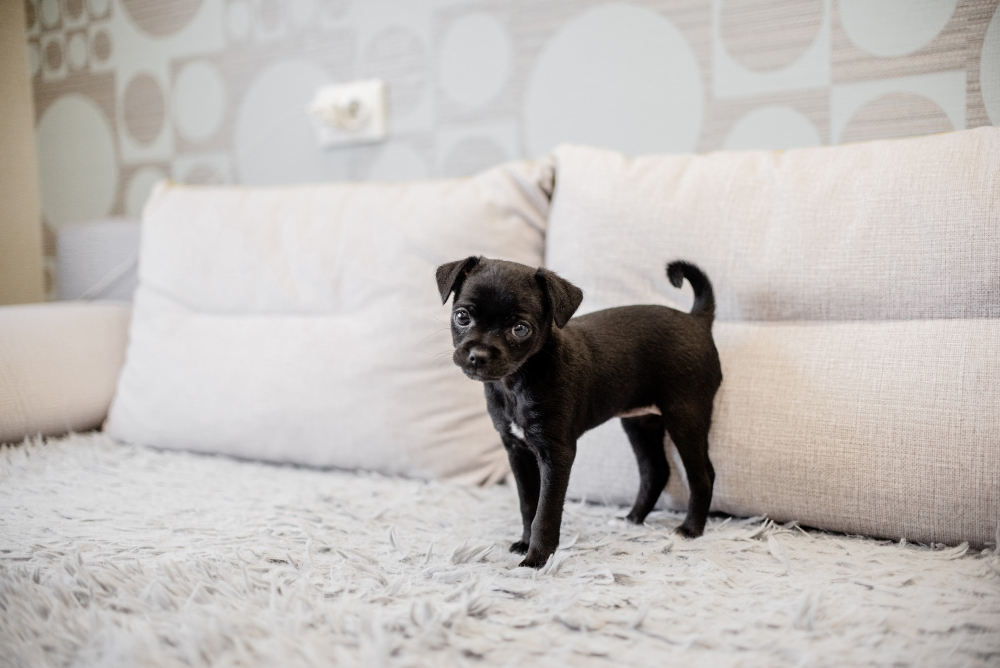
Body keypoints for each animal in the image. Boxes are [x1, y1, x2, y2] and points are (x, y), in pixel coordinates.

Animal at [434, 258, 724, 568]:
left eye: (520, 329)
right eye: (462, 316)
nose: (477, 356)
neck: (517, 381)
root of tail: (696, 319)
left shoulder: (557, 455)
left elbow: (545, 512)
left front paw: (537, 559)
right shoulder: (518, 451)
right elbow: (528, 503)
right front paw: (525, 544)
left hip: (685, 416)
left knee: (703, 475)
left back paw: (690, 529)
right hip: (640, 422)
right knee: (656, 470)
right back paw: (633, 519)